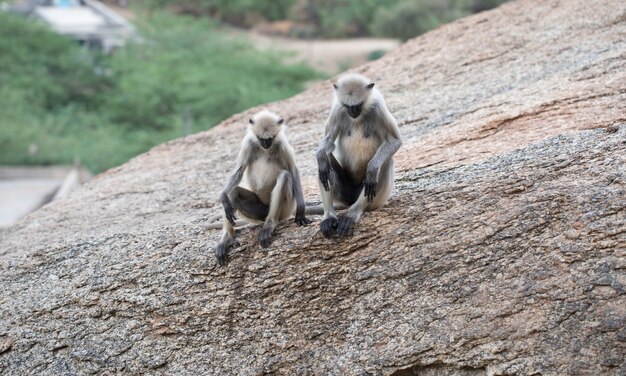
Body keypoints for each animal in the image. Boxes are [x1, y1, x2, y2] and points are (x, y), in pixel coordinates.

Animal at [216, 110, 310, 266]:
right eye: (261, 139)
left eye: (270, 139)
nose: (265, 144)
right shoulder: (249, 143)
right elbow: (238, 171)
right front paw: (223, 196)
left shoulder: (281, 143)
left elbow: (293, 170)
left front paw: (301, 211)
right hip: (258, 212)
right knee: (233, 192)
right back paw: (227, 238)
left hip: (285, 209)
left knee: (284, 176)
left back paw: (269, 225)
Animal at [316, 72, 400, 238]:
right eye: (347, 106)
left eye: (358, 105)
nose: (353, 112)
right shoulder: (337, 109)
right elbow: (328, 142)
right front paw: (320, 155)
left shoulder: (378, 108)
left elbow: (395, 141)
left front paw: (372, 168)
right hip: (345, 193)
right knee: (324, 163)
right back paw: (329, 216)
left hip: (377, 199)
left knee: (385, 162)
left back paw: (352, 214)